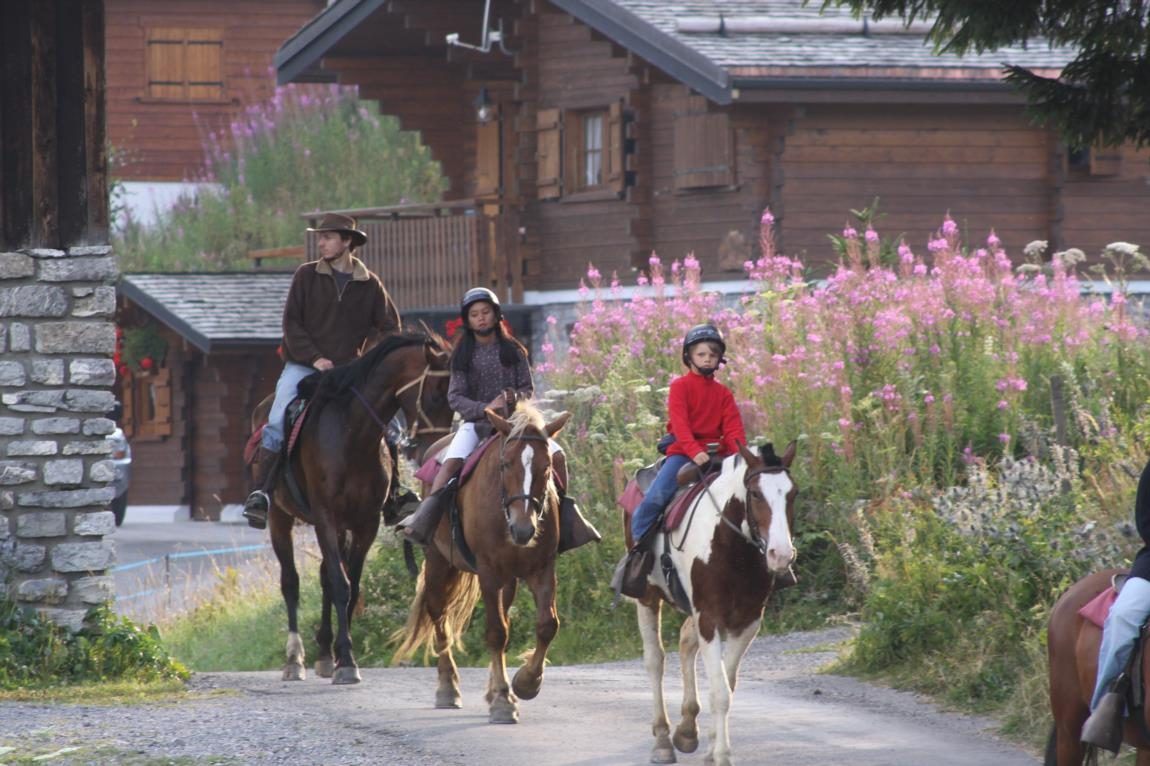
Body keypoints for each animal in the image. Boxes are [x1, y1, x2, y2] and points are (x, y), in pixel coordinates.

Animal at [248, 331, 453, 680]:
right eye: (437, 395)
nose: (434, 449)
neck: (351, 434)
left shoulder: (364, 522)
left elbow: (350, 586)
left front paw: (342, 656)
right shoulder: (325, 518)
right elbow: (340, 585)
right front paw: (345, 661)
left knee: (323, 577)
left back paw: (323, 652)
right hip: (280, 518)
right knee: (291, 582)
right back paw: (294, 659)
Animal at [393, 400, 572, 722]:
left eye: (547, 467)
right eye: (506, 464)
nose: (524, 529)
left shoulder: (542, 569)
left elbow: (547, 625)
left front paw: (526, 683)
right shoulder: (489, 573)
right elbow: (496, 632)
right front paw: (502, 699)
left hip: (508, 579)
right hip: (439, 560)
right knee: (438, 611)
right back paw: (448, 688)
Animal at [625, 439, 795, 763]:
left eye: (793, 493)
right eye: (756, 494)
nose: (781, 555)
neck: (731, 547)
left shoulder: (747, 622)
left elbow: (727, 684)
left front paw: (711, 748)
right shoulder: (709, 618)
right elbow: (720, 691)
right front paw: (722, 754)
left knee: (685, 641)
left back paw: (687, 730)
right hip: (648, 597)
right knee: (655, 661)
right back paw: (663, 740)